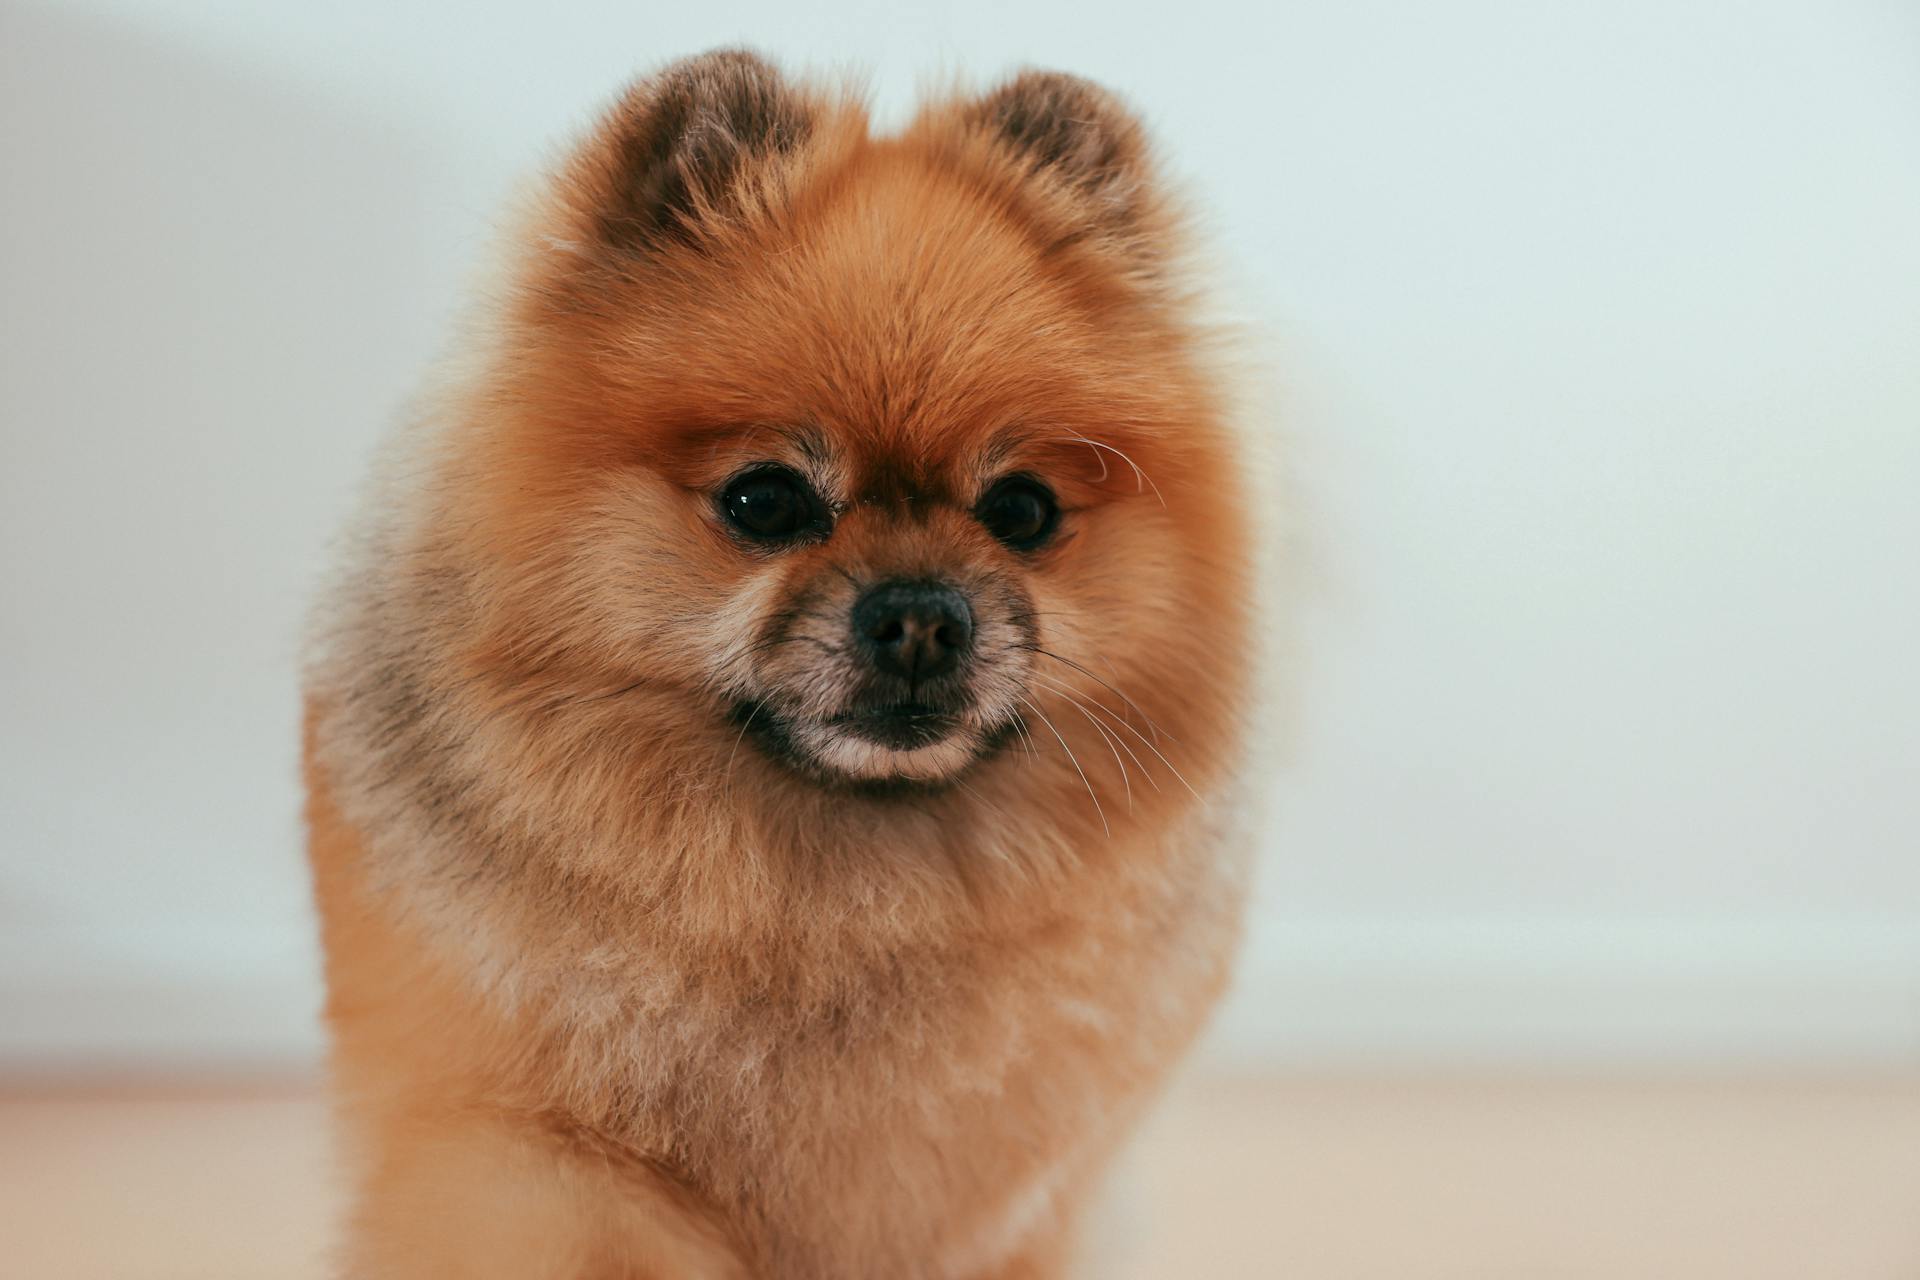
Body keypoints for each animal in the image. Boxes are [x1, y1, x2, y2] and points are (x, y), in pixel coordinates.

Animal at [299, 50, 1259, 1280]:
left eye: (1022, 511)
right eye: (766, 501)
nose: (921, 616)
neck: (838, 899)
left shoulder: (1015, 1209)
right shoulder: (522, 1156)